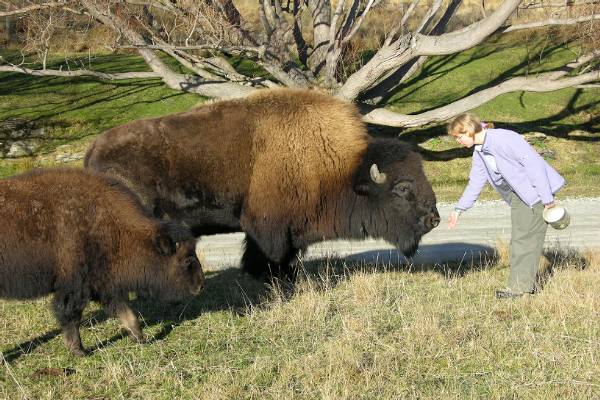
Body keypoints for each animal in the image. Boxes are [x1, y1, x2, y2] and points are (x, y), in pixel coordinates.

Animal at [0, 169, 205, 356]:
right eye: (186, 259)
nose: (200, 285)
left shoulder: (105, 286)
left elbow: (127, 313)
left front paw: (140, 338)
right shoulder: (75, 288)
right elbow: (71, 317)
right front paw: (79, 351)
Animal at [84, 88, 438, 278]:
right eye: (402, 188)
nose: (433, 219)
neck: (345, 169)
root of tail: (93, 151)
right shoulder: (268, 225)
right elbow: (269, 253)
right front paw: (272, 276)